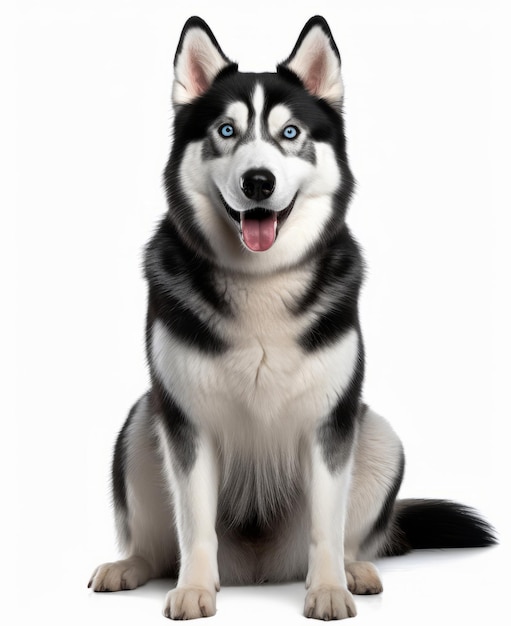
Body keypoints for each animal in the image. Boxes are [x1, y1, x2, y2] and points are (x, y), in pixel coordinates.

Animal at [90, 15, 498, 620]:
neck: (261, 280)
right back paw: (133, 567)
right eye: (227, 131)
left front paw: (328, 588)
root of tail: (256, 570)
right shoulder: (186, 420)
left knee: (349, 531)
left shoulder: (331, 421)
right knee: (159, 545)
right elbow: (195, 523)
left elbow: (326, 524)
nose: (258, 181)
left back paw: (355, 570)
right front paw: (193, 589)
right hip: (141, 424)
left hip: (377, 433)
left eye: (289, 133)